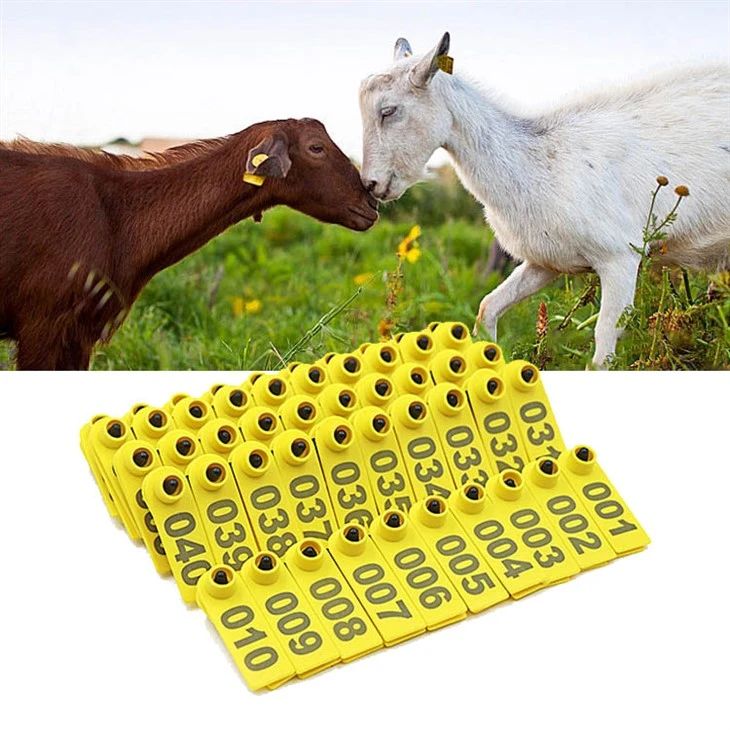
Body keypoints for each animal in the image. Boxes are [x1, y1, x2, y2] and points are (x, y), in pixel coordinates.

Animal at [359, 32, 730, 366]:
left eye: (389, 110)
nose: (370, 184)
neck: (535, 160)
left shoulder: (621, 256)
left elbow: (603, 342)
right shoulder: (545, 262)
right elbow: (487, 308)